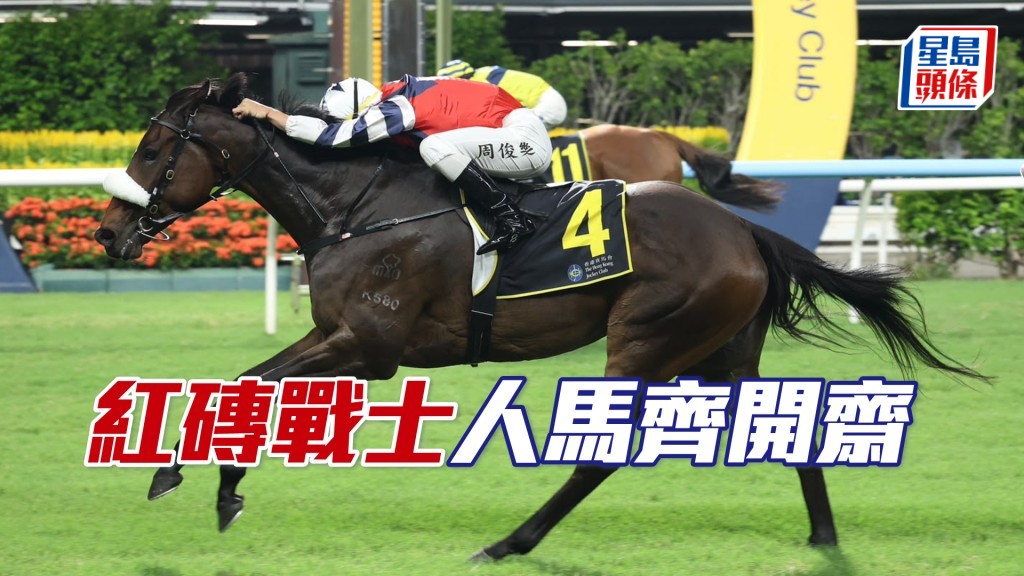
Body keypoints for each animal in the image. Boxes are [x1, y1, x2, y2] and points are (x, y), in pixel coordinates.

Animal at [94, 74, 984, 561]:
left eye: (153, 149)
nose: (108, 232)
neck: (357, 207)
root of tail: (741, 231)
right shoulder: (335, 335)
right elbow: (245, 383)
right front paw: (210, 486)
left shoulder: (369, 345)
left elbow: (251, 383)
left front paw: (192, 481)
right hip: (722, 353)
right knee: (791, 430)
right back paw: (825, 541)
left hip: (650, 339)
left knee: (600, 458)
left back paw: (508, 543)